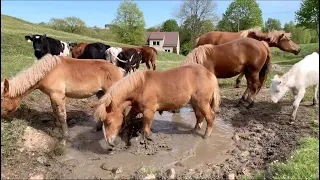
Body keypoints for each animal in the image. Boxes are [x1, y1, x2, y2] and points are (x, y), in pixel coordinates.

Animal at [92, 63, 220, 148]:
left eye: (108, 122)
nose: (110, 143)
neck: (141, 86)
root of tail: (210, 74)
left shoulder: (149, 111)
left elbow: (146, 129)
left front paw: (146, 141)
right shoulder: (136, 108)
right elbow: (128, 119)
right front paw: (125, 132)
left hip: (202, 103)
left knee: (210, 117)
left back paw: (206, 136)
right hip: (195, 103)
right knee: (199, 117)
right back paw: (194, 130)